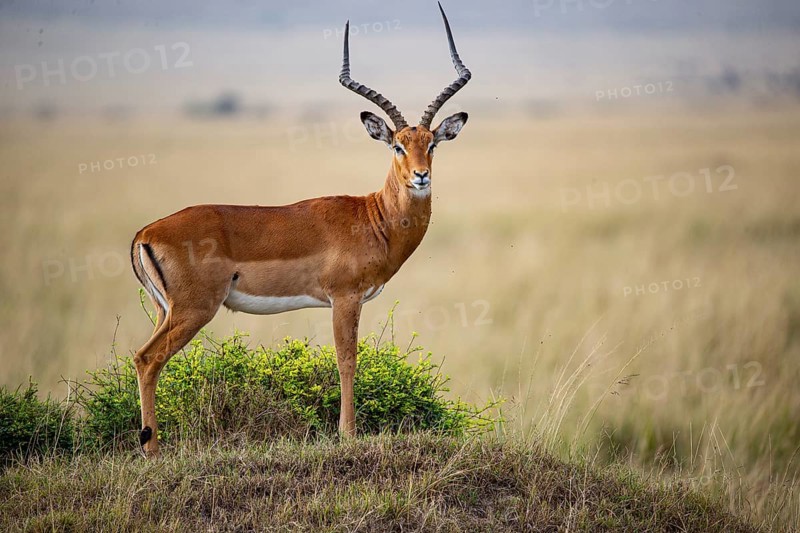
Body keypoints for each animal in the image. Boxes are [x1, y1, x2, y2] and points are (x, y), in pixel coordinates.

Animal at [129, 2, 471, 457]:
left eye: (431, 143)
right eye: (397, 144)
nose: (420, 176)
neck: (373, 218)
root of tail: (145, 233)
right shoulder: (345, 298)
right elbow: (347, 360)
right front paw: (348, 434)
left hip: (163, 310)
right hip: (193, 309)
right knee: (147, 359)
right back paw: (151, 448)